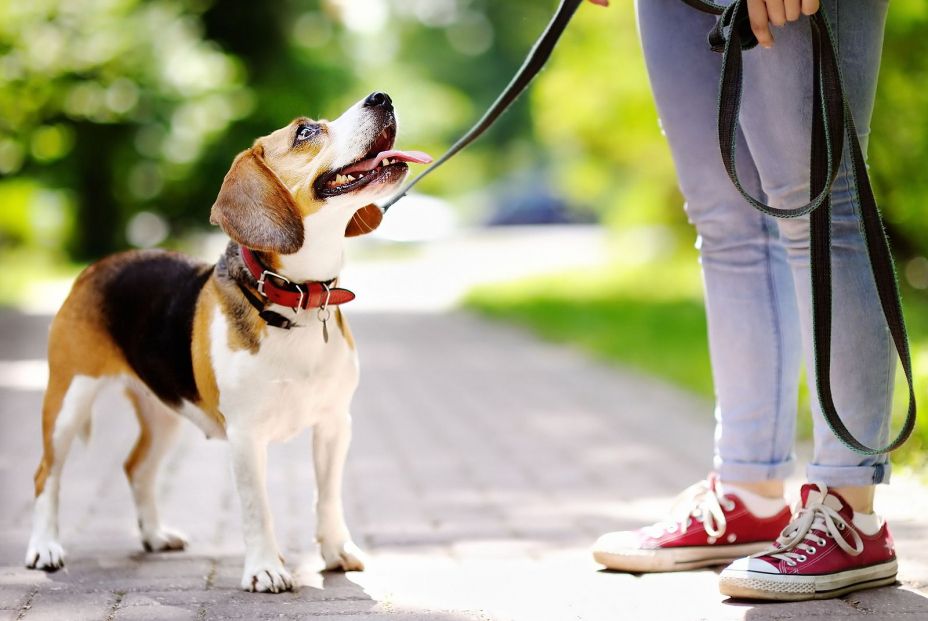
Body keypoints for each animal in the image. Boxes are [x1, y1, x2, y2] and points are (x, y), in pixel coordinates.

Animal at [24, 91, 432, 592]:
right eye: (305, 132)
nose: (382, 97)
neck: (295, 299)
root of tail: (98, 266)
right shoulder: (246, 435)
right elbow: (258, 508)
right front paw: (266, 568)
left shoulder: (335, 423)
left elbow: (328, 496)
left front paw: (336, 550)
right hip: (68, 400)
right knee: (46, 475)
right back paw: (44, 548)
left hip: (164, 411)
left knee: (136, 468)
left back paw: (155, 535)